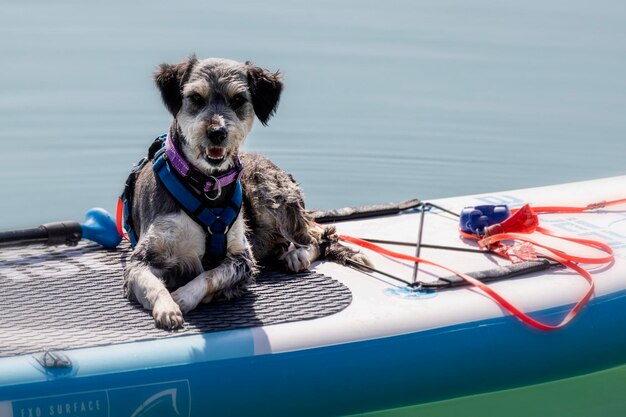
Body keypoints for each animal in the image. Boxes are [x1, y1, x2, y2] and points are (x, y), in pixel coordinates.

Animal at [122, 56, 370, 328]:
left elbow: (212, 274)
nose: (217, 132)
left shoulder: (242, 257)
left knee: (318, 235)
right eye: (196, 97)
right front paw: (167, 307)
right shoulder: (144, 257)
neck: (206, 185)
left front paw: (185, 296)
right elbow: (151, 282)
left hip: (271, 196)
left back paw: (298, 255)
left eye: (238, 99)